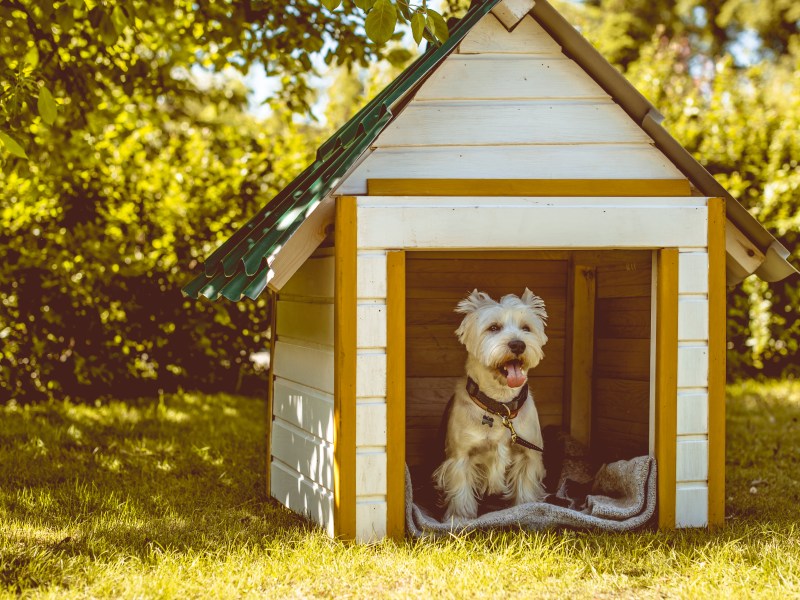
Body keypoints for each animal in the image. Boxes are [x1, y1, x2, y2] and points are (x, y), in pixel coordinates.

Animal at [432, 288, 552, 524]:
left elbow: (525, 488)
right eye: (493, 327)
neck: (500, 406)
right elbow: (461, 491)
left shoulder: (528, 455)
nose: (518, 344)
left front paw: (527, 510)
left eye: (526, 328)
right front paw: (459, 518)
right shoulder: (460, 457)